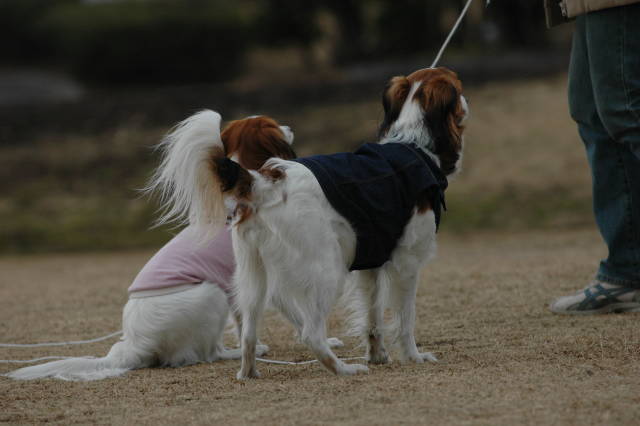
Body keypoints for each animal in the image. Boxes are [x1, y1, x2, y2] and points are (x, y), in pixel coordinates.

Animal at [152, 65, 468, 378]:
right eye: (459, 87)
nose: (467, 103)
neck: (413, 143)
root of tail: (260, 182)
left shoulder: (372, 265)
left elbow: (373, 318)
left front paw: (378, 355)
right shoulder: (407, 263)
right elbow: (405, 319)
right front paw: (413, 357)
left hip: (251, 277)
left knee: (249, 333)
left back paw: (249, 373)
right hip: (328, 270)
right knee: (311, 334)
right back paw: (343, 369)